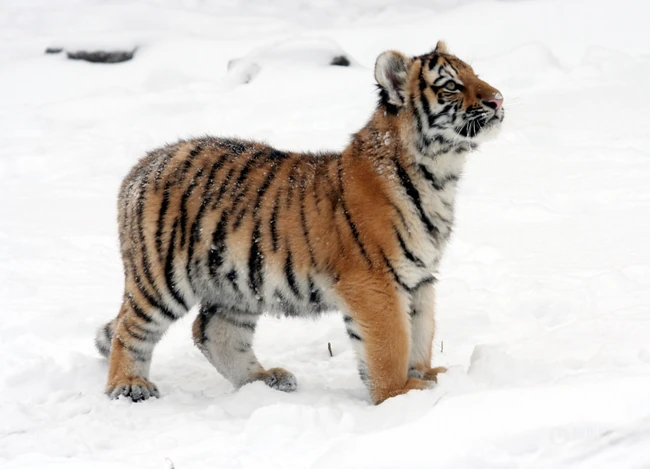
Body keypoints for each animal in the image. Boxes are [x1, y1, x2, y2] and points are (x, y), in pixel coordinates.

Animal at [95, 41, 504, 404]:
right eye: (451, 85)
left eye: (474, 74)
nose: (498, 100)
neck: (440, 175)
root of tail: (143, 164)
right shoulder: (376, 282)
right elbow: (390, 343)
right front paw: (399, 395)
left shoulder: (420, 279)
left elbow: (421, 332)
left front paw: (428, 376)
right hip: (160, 277)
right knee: (130, 330)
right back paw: (128, 386)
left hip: (236, 283)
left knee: (213, 332)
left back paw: (264, 381)